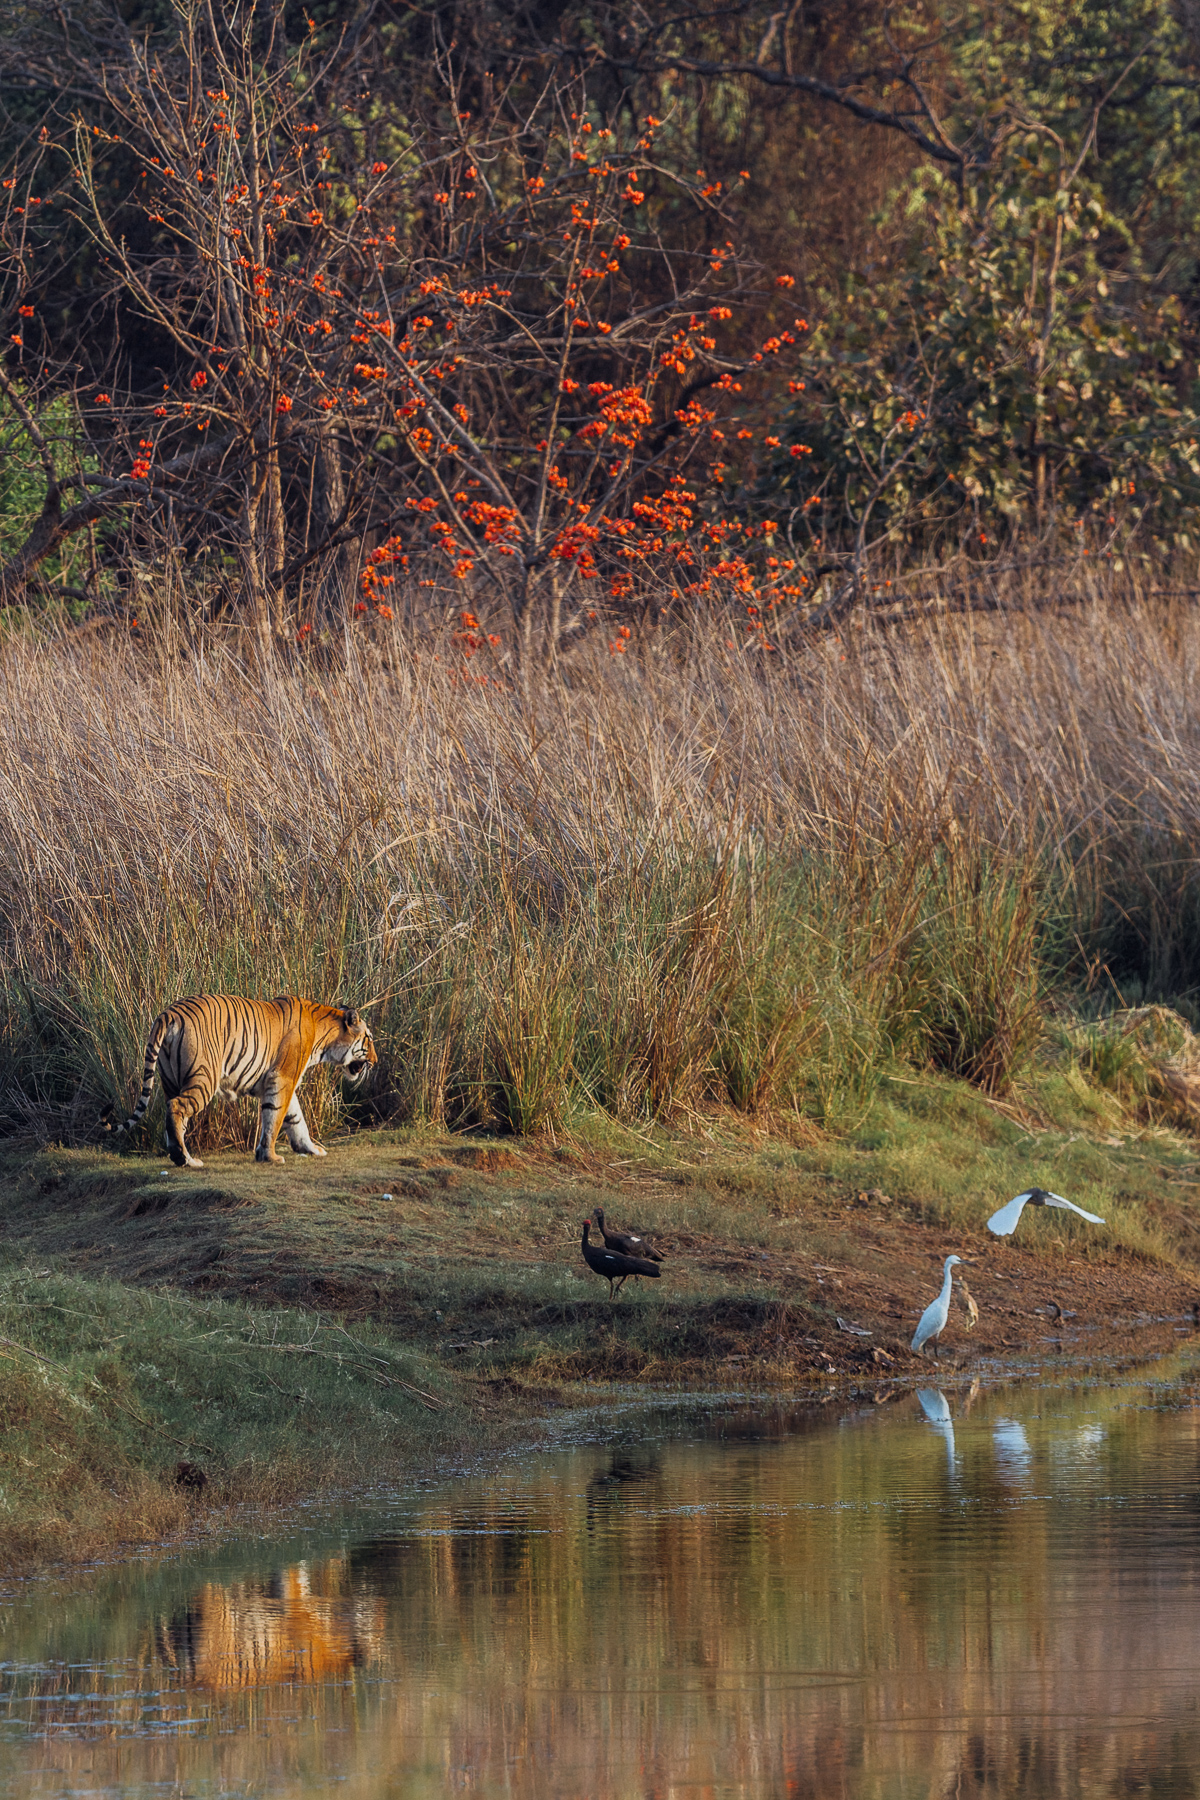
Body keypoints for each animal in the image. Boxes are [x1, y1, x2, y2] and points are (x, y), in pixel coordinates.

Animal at [102, 995, 377, 1168]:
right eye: (369, 1039)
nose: (374, 1061)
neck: (325, 1037)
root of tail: (167, 1014)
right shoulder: (283, 1078)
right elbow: (275, 1117)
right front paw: (270, 1156)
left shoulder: (280, 1082)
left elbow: (295, 1118)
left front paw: (309, 1148)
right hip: (204, 1077)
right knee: (177, 1108)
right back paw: (185, 1160)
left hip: (169, 1080)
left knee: (173, 1117)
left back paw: (180, 1156)